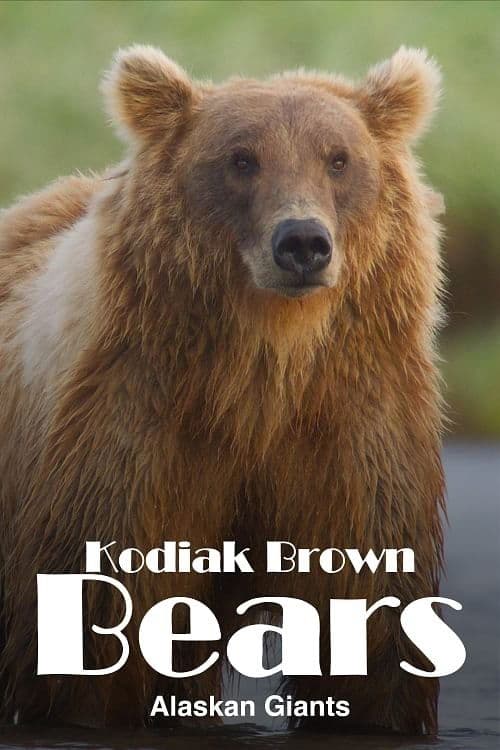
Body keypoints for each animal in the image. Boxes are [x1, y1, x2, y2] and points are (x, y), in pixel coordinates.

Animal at [0, 45, 445, 734]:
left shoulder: (354, 420)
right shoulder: (132, 421)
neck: (262, 369)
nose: (302, 243)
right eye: (241, 158)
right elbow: (98, 618)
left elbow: (371, 612)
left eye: (338, 157)